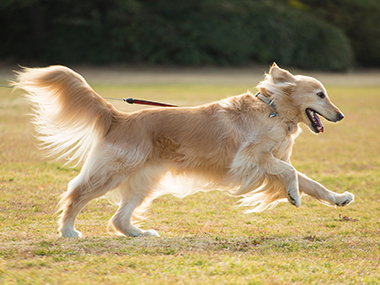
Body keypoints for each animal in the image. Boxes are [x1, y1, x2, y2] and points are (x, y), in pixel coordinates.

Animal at [14, 64, 354, 237]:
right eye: (320, 94)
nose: (341, 116)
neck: (272, 109)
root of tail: (119, 116)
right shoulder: (249, 159)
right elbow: (291, 172)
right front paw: (293, 194)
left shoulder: (268, 161)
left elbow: (313, 183)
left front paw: (339, 198)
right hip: (111, 172)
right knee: (76, 193)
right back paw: (68, 231)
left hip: (144, 180)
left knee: (119, 218)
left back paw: (139, 233)